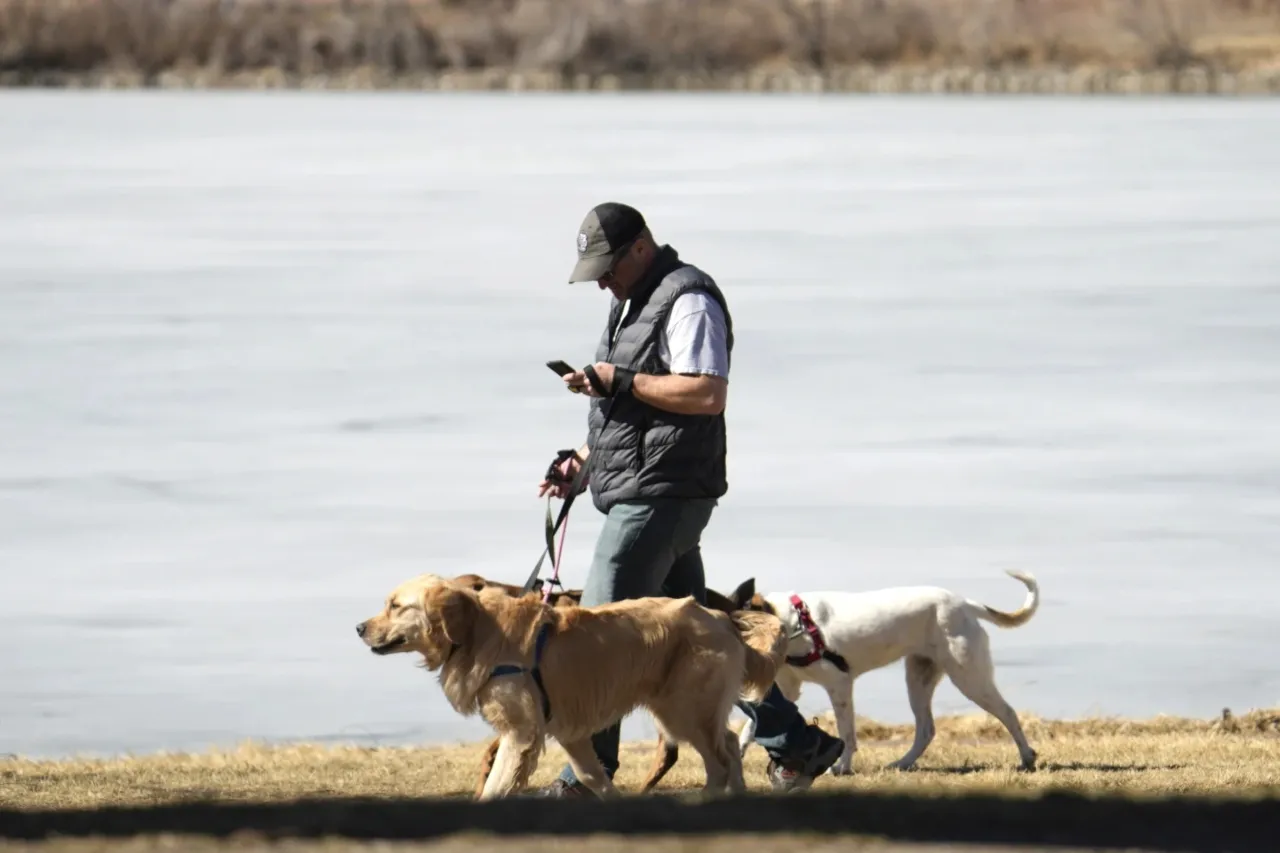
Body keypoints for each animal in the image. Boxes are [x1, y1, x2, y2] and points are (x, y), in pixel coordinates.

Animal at [727, 568, 1044, 773]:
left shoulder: (839, 685)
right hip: (919, 678)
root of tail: (965, 604)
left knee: (1008, 713)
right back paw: (903, 763)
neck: (795, 623)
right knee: (926, 729)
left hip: (969, 677)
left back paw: (1027, 758)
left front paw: (843, 767)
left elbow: (847, 733)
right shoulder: (787, 689)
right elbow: (750, 728)